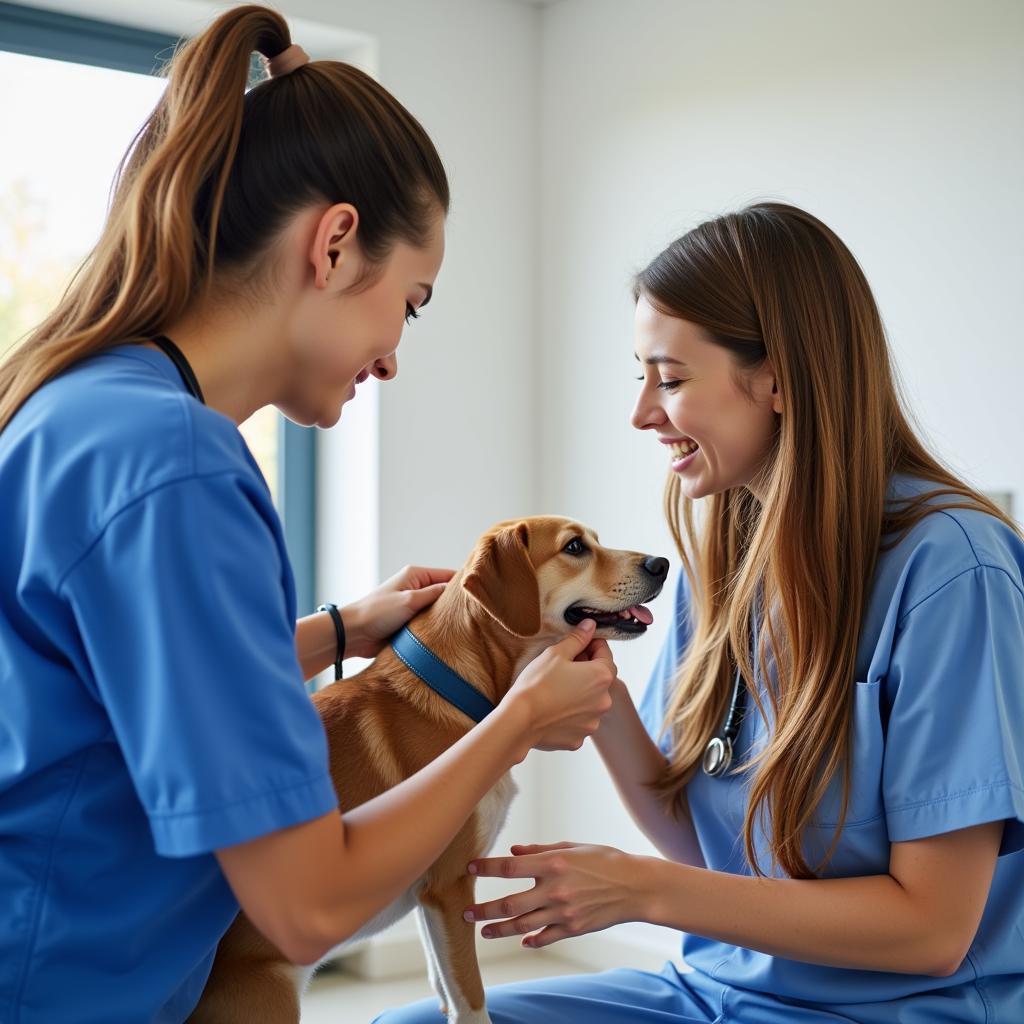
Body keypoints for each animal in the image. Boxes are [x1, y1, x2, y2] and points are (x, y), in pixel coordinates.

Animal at [190, 516, 671, 1019]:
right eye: (575, 547)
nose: (661, 564)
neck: (462, 692)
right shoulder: (451, 884)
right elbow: (470, 998)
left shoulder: (430, 901)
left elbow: (443, 986)